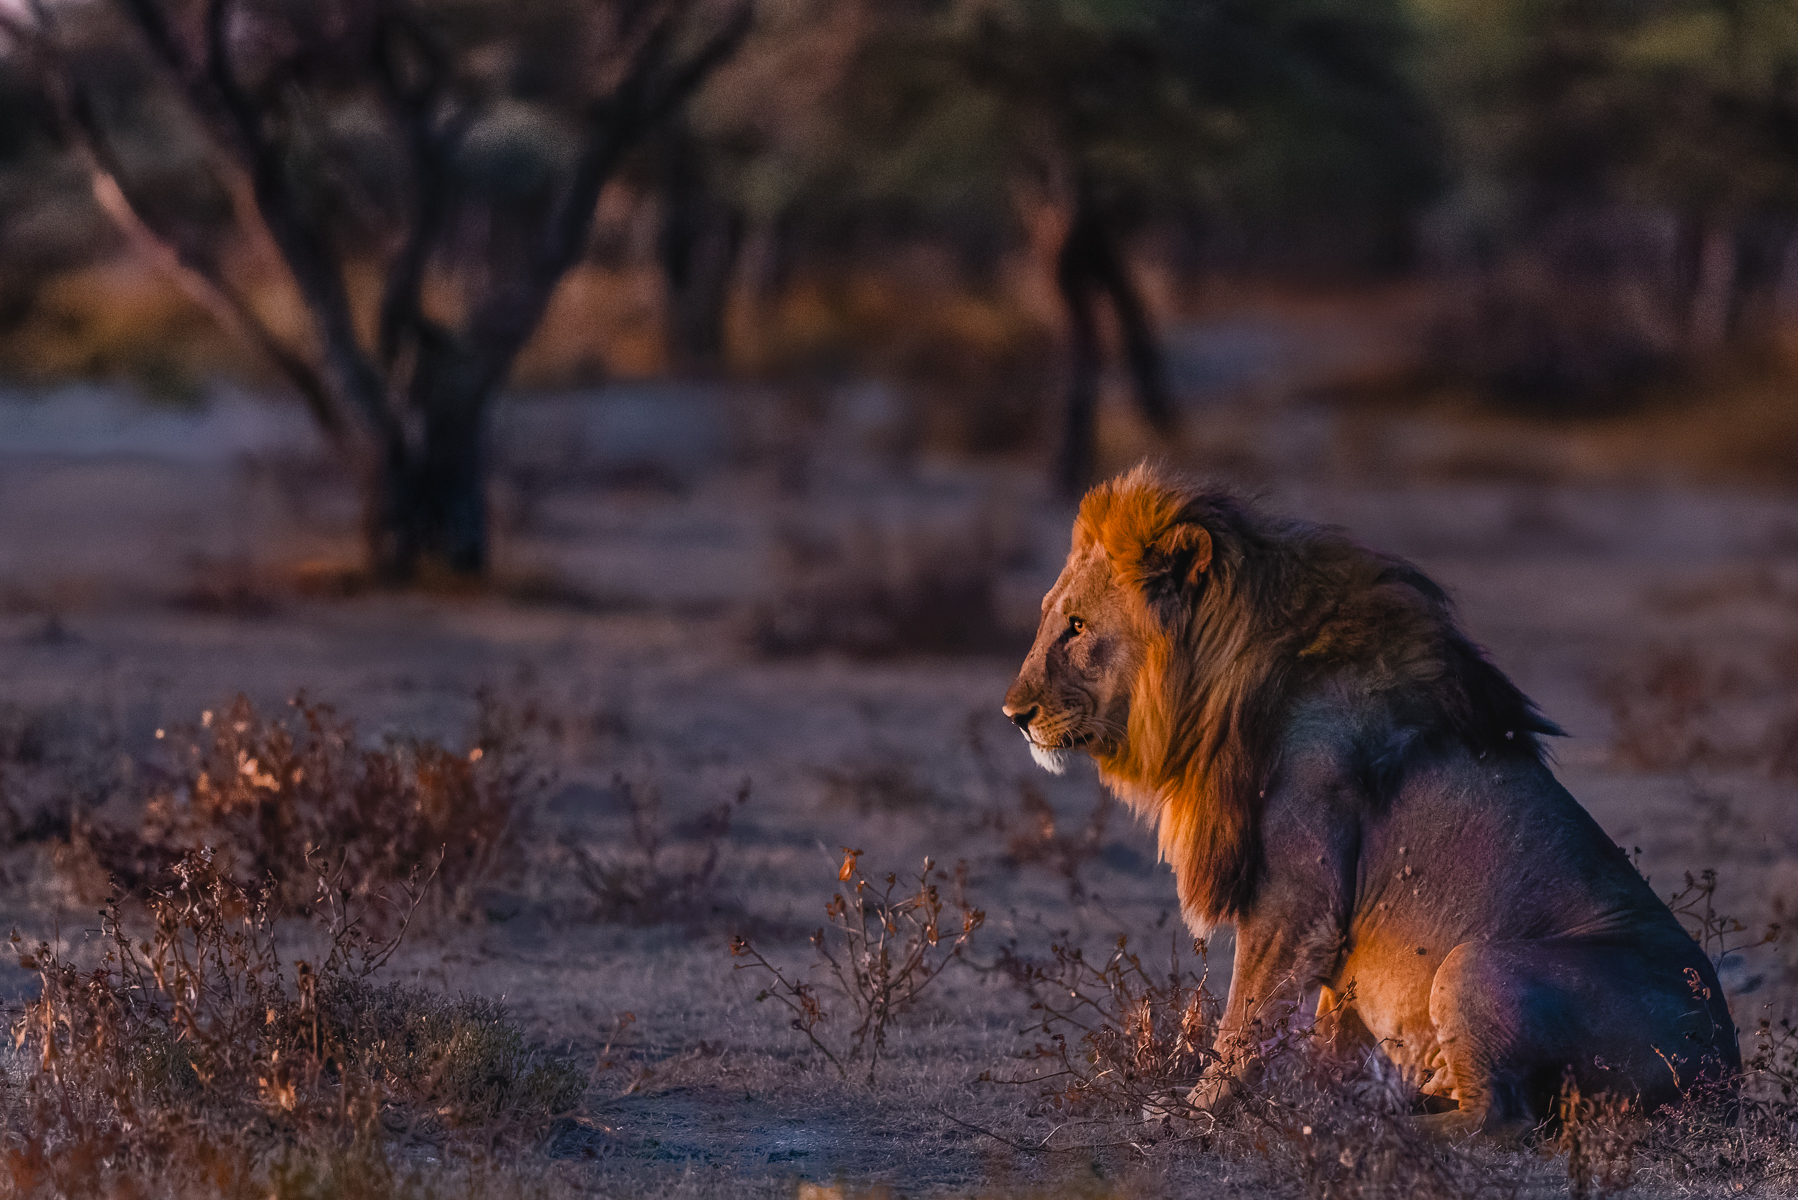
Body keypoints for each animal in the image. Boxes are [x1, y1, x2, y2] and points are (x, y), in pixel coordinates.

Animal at [1002, 464, 1738, 1133]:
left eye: (1076, 626)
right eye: (1050, 620)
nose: (1014, 714)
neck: (1222, 690)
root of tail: (1725, 1075)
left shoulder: (1296, 897)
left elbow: (1245, 1019)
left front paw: (1200, 1110)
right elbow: (1330, 1027)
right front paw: (1318, 1094)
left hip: (1474, 963)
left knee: (1500, 1117)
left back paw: (1382, 1128)